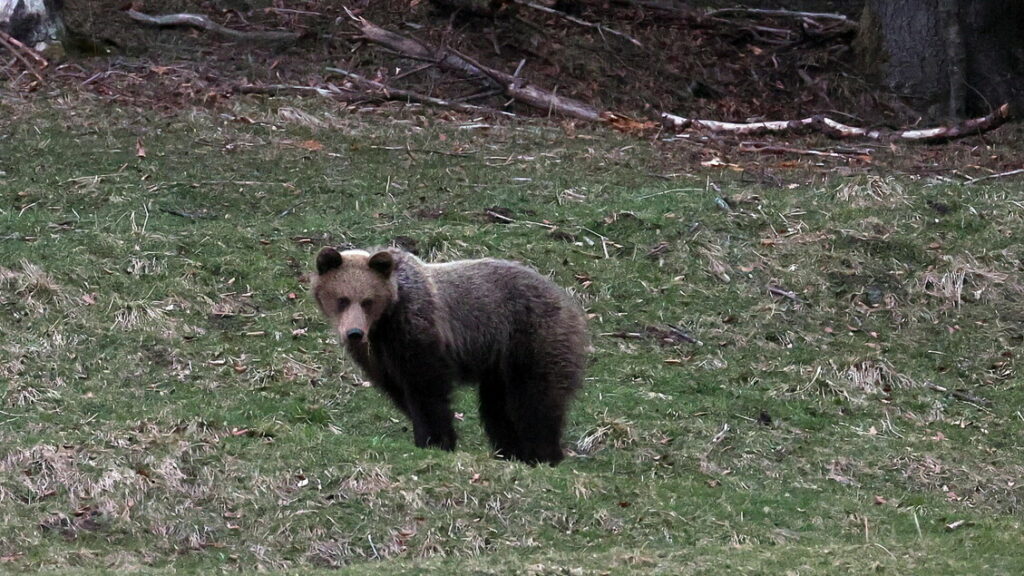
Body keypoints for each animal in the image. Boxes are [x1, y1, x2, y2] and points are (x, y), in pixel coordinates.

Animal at [311, 246, 586, 466]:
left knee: (536, 400)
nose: (354, 333)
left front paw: (436, 440)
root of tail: (569, 301)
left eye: (367, 300)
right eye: (342, 299)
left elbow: (427, 390)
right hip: (497, 366)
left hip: (531, 338)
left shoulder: (417, 329)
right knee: (498, 409)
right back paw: (512, 452)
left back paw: (544, 455)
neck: (383, 324)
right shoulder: (378, 358)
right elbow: (400, 391)